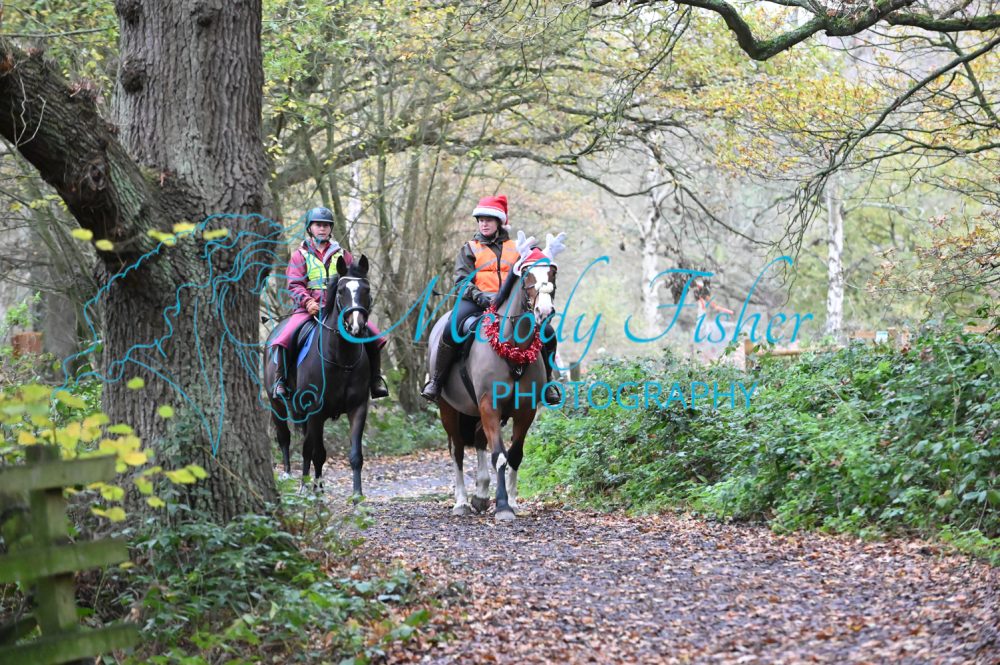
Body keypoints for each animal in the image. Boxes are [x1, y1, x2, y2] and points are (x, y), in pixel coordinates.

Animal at [264, 255, 374, 500]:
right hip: (277, 405)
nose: (357, 327)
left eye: (367, 289)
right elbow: (317, 453)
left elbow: (355, 454)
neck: (341, 358)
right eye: (341, 290)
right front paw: (315, 490)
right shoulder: (316, 410)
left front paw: (357, 496)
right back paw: (294, 479)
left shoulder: (358, 407)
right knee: (286, 438)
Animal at [427, 258, 559, 521]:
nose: (544, 312)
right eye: (528, 277)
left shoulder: (525, 411)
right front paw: (503, 506)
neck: (514, 348)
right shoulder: (490, 405)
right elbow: (499, 456)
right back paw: (462, 502)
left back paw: (480, 494)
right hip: (449, 409)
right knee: (457, 450)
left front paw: (513, 502)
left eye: (552, 273)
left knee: (479, 439)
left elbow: (515, 455)